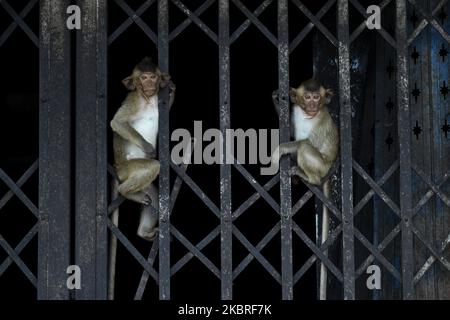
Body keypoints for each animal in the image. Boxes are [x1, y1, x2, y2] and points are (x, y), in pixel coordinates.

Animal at [110, 56, 176, 241]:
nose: (149, 84)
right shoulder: (133, 100)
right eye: (143, 78)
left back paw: (144, 232)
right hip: (128, 169)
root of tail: (117, 167)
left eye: (152, 77)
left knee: (153, 197)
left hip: (139, 181)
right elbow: (117, 122)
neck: (148, 99)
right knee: (153, 166)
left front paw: (171, 90)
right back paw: (126, 192)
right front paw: (149, 147)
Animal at [270, 78, 338, 300]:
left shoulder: (322, 120)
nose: (313, 105)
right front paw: (276, 98)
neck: (309, 115)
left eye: (316, 97)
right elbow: (292, 131)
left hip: (321, 166)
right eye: (307, 97)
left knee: (304, 148)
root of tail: (328, 170)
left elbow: (307, 142)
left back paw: (308, 177)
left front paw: (280, 149)